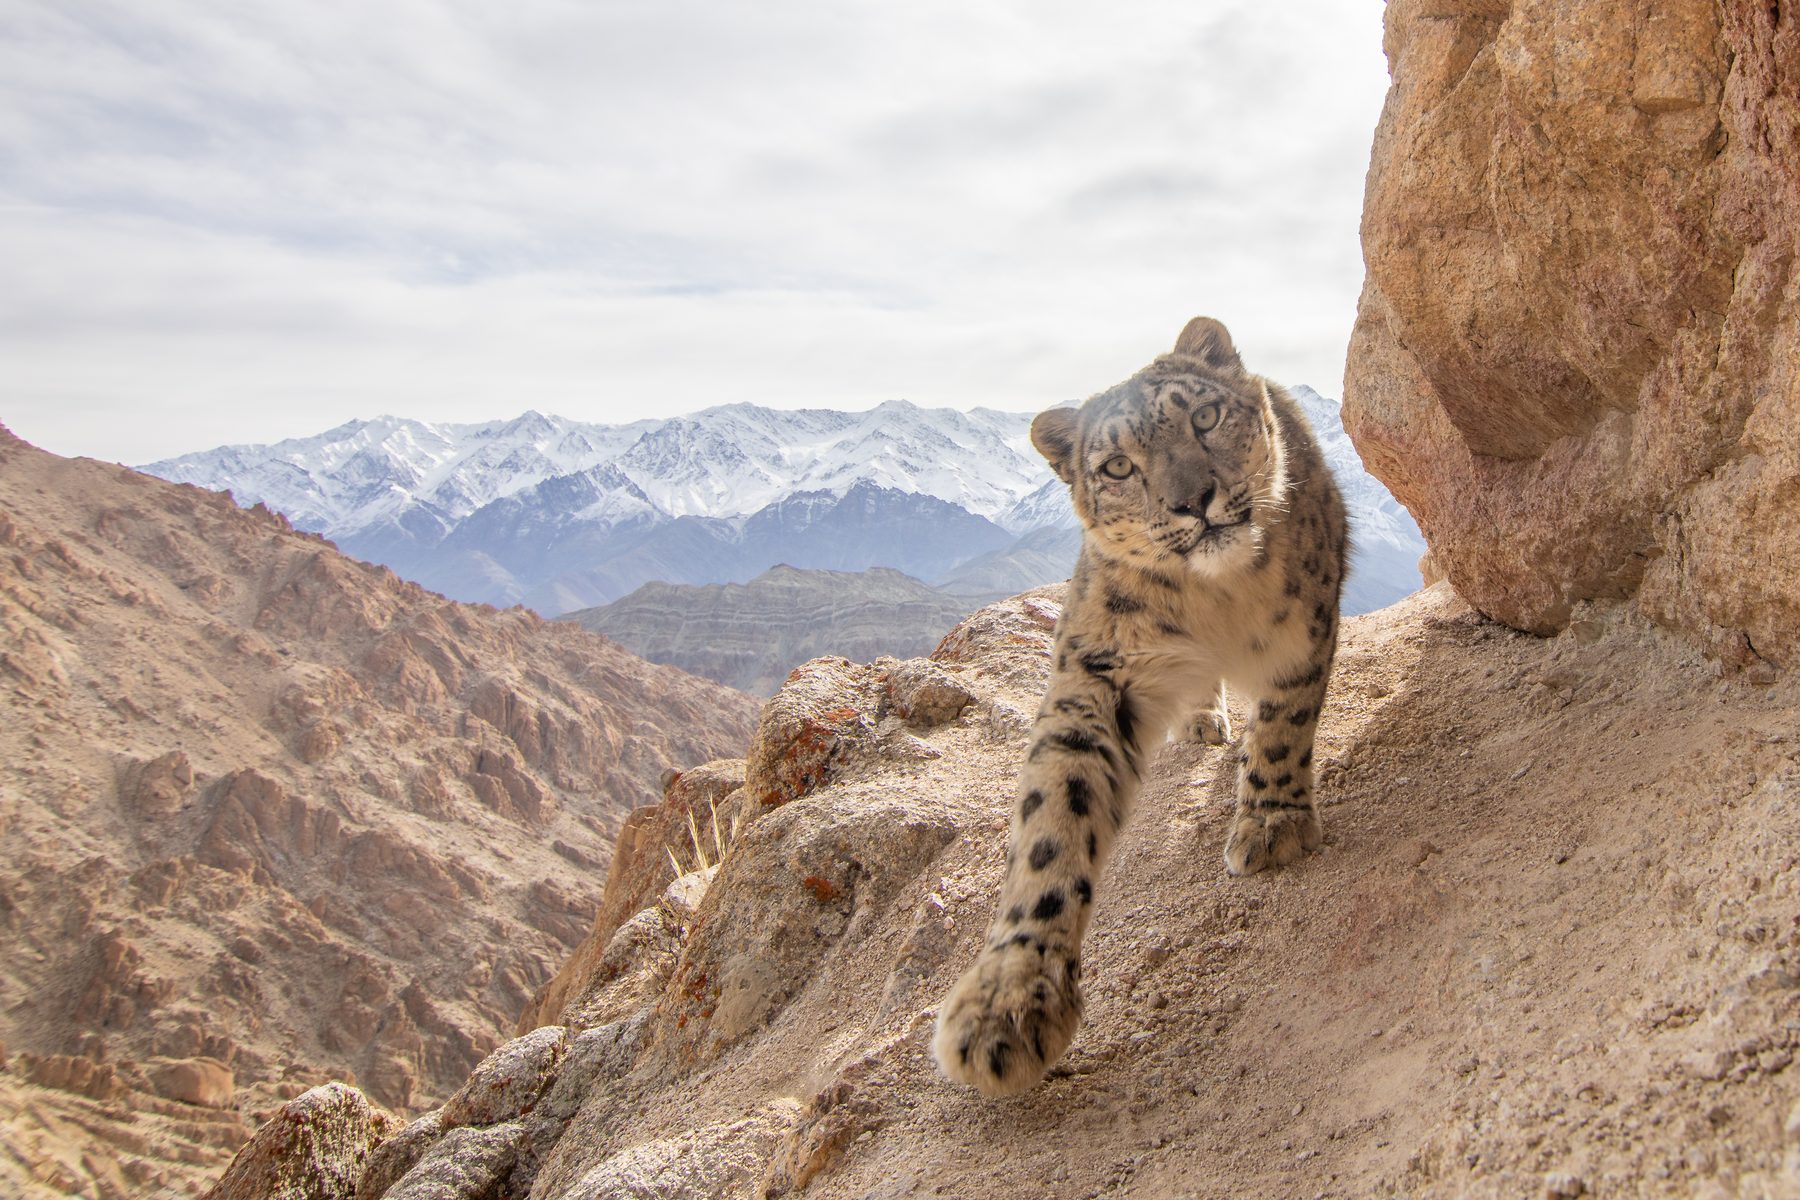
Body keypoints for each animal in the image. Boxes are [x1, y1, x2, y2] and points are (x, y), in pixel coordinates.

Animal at [933, 316, 1348, 1097]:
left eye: (1205, 418)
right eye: (1119, 468)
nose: (1195, 499)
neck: (1217, 602)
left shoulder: (1304, 627)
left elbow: (1284, 724)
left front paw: (1272, 824)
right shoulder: (1099, 675)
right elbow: (1053, 819)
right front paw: (1009, 1003)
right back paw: (1204, 720)